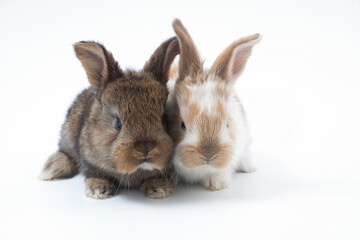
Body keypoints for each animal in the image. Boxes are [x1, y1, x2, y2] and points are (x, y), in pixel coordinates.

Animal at [39, 37, 180, 199]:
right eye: (118, 123)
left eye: (163, 118)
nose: (145, 151)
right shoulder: (90, 162)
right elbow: (96, 174)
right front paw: (99, 191)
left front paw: (158, 189)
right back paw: (52, 168)